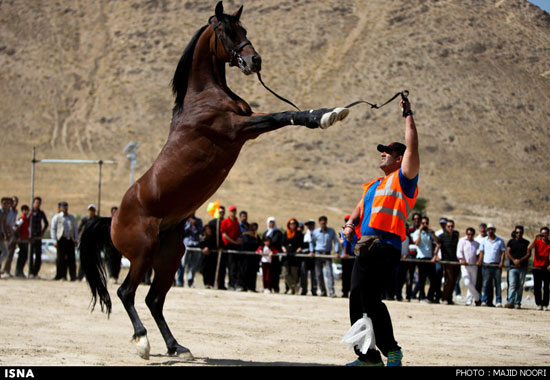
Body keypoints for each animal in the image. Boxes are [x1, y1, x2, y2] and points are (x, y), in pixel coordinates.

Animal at [78, 1, 350, 360]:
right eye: (227, 31)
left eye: (244, 29)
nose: (254, 61)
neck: (204, 97)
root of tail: (110, 220)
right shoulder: (239, 129)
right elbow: (282, 115)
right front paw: (326, 116)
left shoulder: (246, 125)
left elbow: (282, 115)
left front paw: (332, 111)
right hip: (142, 253)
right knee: (126, 292)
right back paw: (142, 341)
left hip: (170, 255)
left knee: (153, 298)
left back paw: (176, 346)